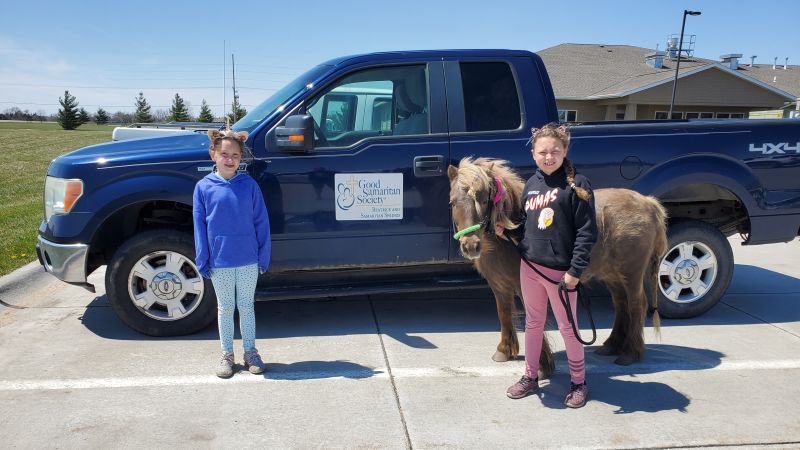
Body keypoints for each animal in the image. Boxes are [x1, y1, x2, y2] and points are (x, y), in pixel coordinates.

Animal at [450, 157, 668, 370]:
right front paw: (504, 351)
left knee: (637, 304)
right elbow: (503, 313)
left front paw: (541, 366)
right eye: (453, 202)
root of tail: (649, 203)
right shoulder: (499, 286)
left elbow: (533, 318)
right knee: (621, 303)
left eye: (483, 199)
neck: (508, 238)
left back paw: (630, 353)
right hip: (612, 275)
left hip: (631, 273)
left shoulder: (524, 285)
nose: (470, 246)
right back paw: (612, 345)